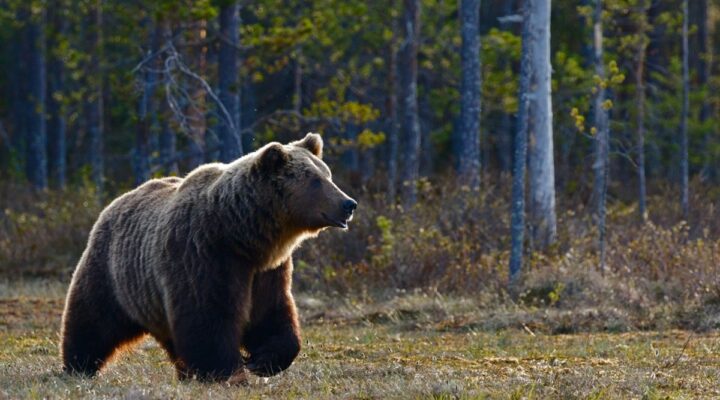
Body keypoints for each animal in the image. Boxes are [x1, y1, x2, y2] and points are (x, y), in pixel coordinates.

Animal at [59, 134, 358, 382]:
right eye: (315, 180)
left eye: (328, 174)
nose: (349, 204)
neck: (242, 235)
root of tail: (115, 202)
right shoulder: (204, 254)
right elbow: (208, 316)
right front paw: (227, 371)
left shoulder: (267, 270)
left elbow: (271, 313)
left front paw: (262, 361)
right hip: (113, 272)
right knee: (92, 319)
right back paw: (78, 366)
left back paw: (184, 372)